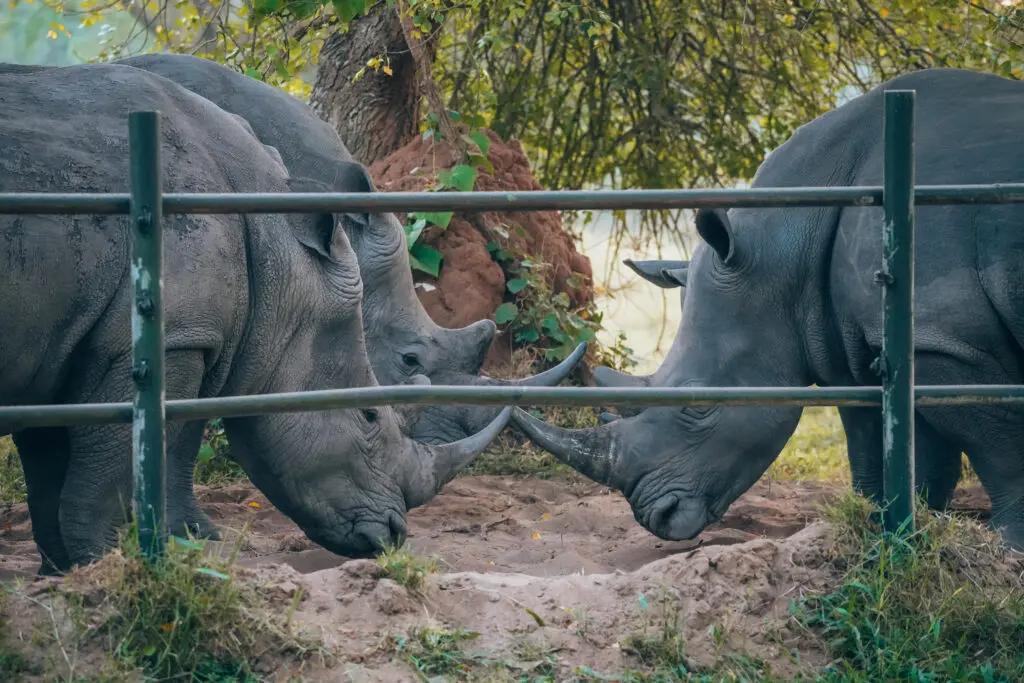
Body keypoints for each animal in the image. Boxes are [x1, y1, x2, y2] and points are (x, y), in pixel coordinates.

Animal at [0, 62, 512, 573]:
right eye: (407, 364)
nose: (394, 535)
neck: (283, 245)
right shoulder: (180, 335)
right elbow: (154, 448)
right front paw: (133, 560)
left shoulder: (66, 347)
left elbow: (56, 468)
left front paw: (66, 572)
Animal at [511, 68, 1024, 549]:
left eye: (699, 407)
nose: (657, 518)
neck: (781, 247)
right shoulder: (869, 344)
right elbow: (892, 445)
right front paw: (893, 530)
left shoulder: (946, 340)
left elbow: (997, 445)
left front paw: (1008, 544)